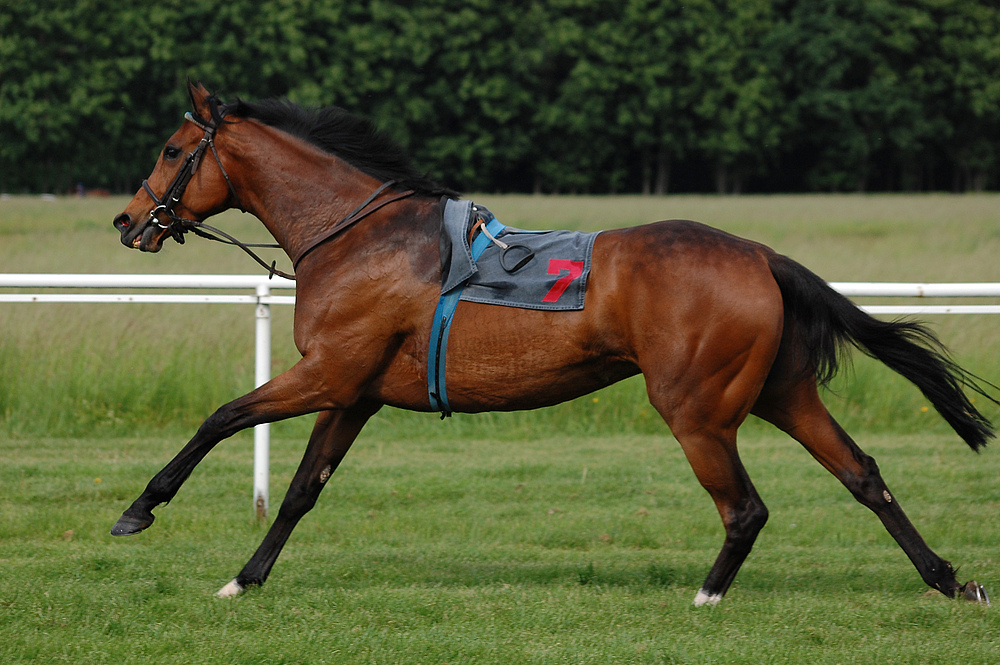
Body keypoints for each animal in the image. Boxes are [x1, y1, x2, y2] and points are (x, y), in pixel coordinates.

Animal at [111, 80, 992, 604]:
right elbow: (301, 489)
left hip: (696, 407)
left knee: (745, 506)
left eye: (170, 149)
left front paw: (139, 509)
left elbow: (222, 416)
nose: (126, 220)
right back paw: (948, 579)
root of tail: (758, 254)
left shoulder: (326, 372)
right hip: (782, 390)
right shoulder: (353, 391)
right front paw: (245, 577)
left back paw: (707, 593)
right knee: (864, 474)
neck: (358, 238)